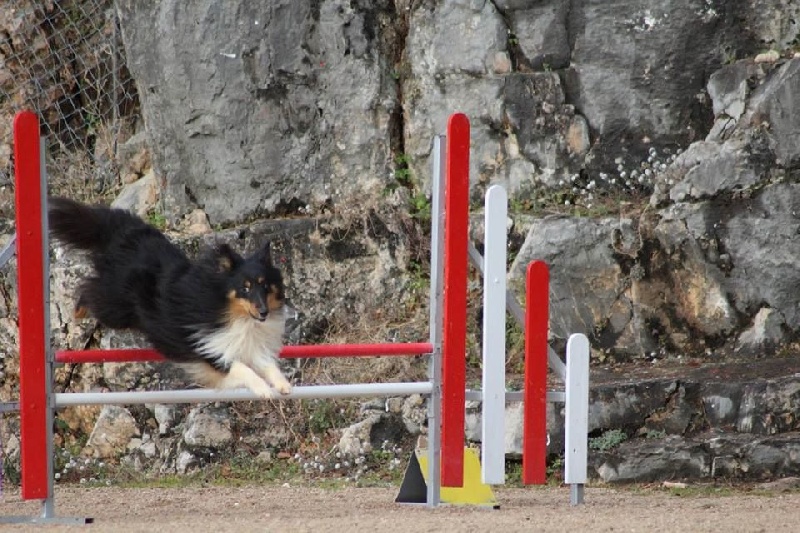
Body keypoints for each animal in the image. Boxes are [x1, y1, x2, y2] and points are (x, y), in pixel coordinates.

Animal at [47, 197, 292, 396]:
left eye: (265, 285)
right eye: (245, 288)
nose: (263, 311)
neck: (227, 309)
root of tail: (127, 230)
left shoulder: (249, 347)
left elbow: (267, 365)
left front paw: (283, 385)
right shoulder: (210, 350)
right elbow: (243, 369)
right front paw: (263, 390)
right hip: (115, 307)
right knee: (87, 290)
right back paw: (78, 311)